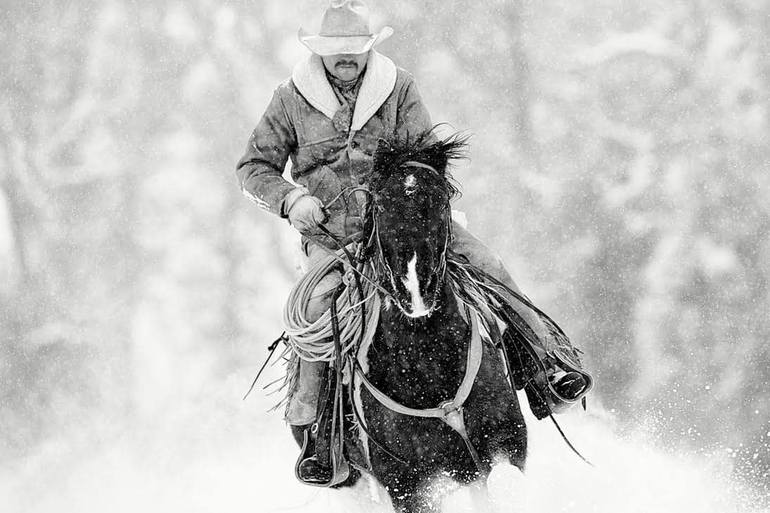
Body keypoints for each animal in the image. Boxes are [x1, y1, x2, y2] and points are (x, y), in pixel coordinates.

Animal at [288, 130, 528, 510]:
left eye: (441, 201)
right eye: (381, 206)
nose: (416, 291)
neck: (429, 363)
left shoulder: (504, 444)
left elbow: (505, 485)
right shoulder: (408, 485)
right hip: (346, 476)